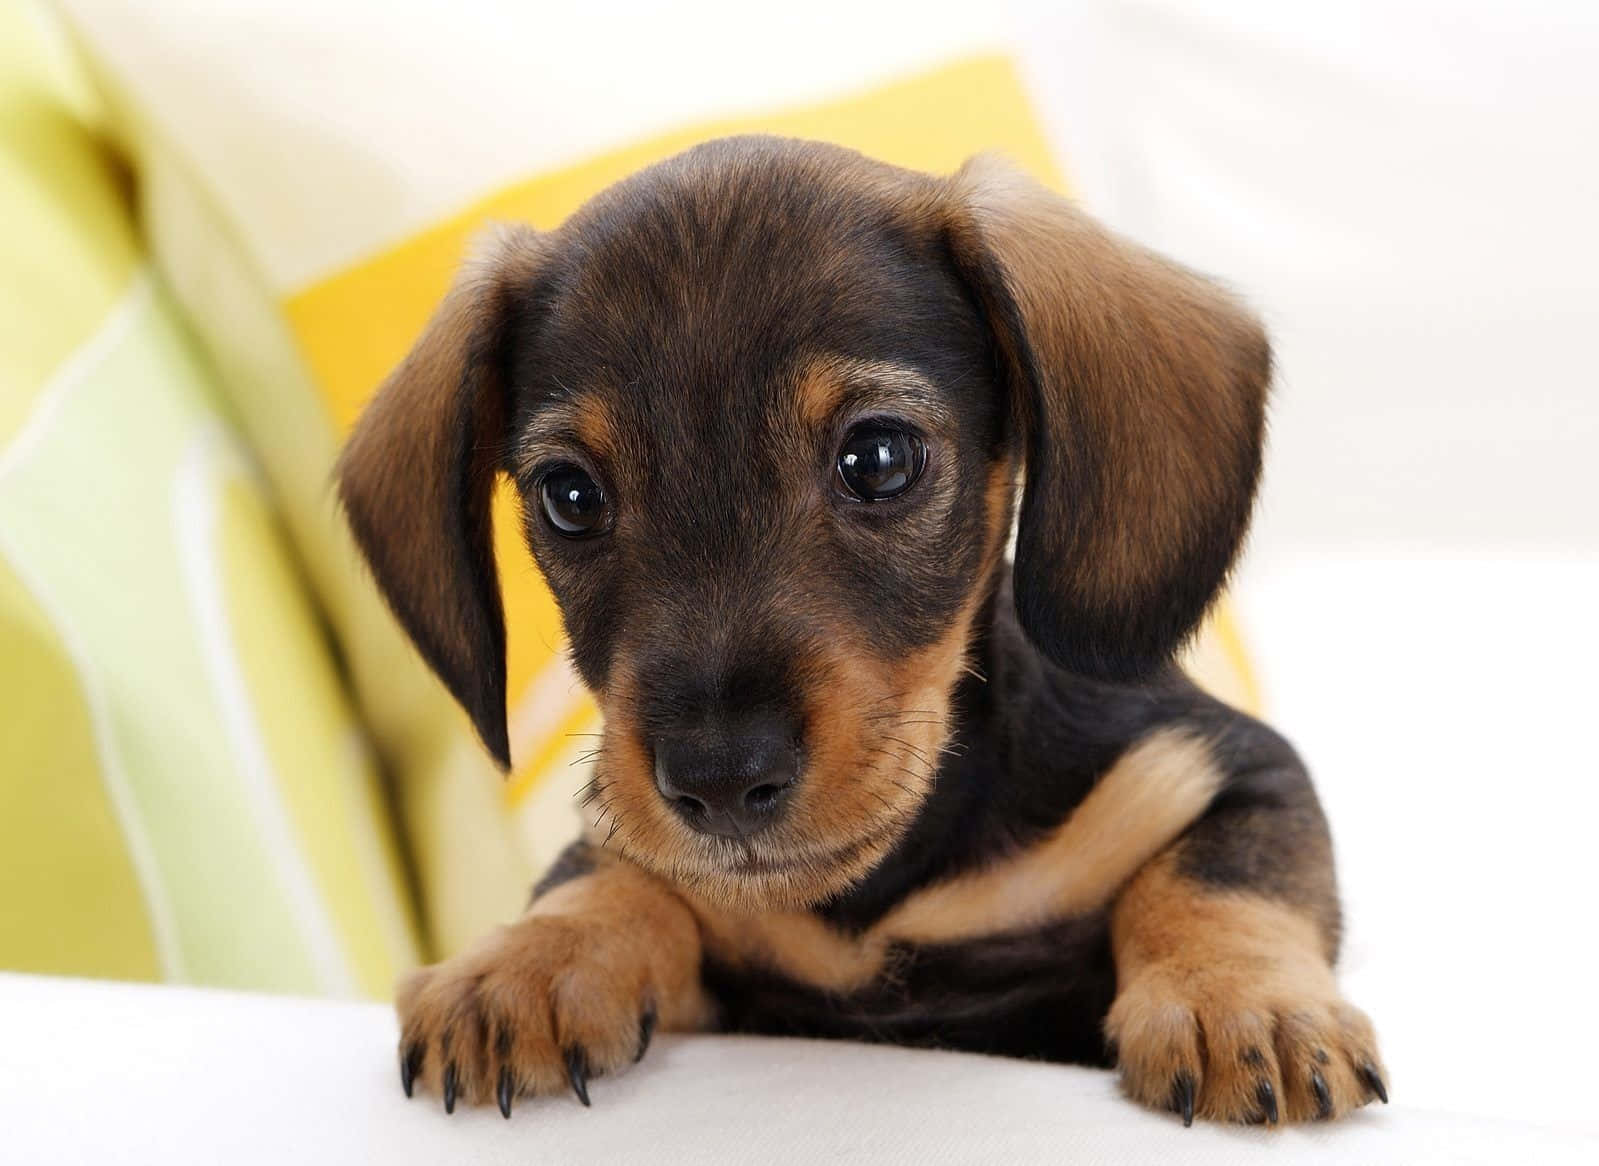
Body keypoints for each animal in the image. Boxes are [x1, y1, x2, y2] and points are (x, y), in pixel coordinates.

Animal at [337, 131, 1387, 1126]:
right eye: (569, 497)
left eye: (879, 457)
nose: (718, 782)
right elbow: (609, 875)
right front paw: (524, 966)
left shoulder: (1222, 770)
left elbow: (1216, 881)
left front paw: (1238, 1003)